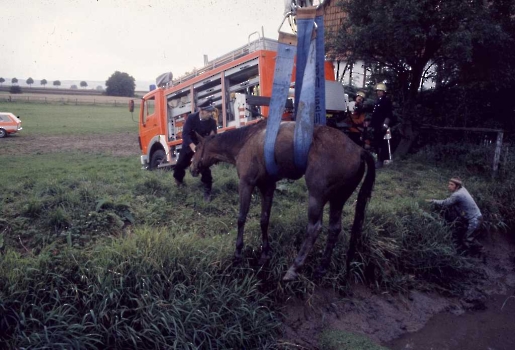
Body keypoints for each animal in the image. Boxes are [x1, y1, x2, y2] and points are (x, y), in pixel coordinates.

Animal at [189, 121, 374, 282]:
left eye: (197, 148)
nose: (191, 168)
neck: (245, 141)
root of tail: (358, 149)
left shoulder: (246, 183)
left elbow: (241, 218)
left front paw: (238, 253)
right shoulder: (267, 187)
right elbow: (264, 219)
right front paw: (265, 254)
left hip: (317, 195)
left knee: (314, 228)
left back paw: (294, 268)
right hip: (338, 199)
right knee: (334, 229)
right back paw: (321, 268)